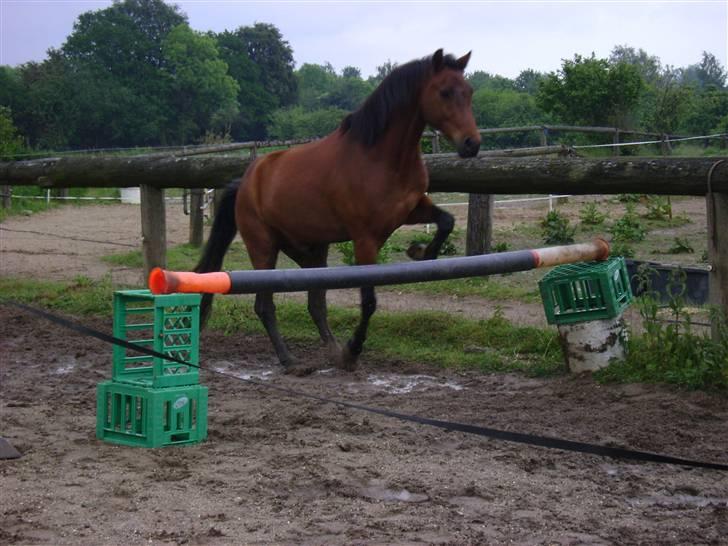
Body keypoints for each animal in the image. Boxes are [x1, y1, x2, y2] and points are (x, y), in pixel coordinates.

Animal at [195, 50, 478, 370]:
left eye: (469, 92)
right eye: (444, 92)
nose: (472, 144)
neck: (381, 158)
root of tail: (245, 181)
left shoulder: (411, 209)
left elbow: (447, 221)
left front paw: (421, 252)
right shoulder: (365, 239)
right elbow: (369, 301)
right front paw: (353, 350)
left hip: (310, 251)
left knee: (315, 303)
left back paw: (331, 350)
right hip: (263, 249)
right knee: (265, 306)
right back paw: (291, 360)